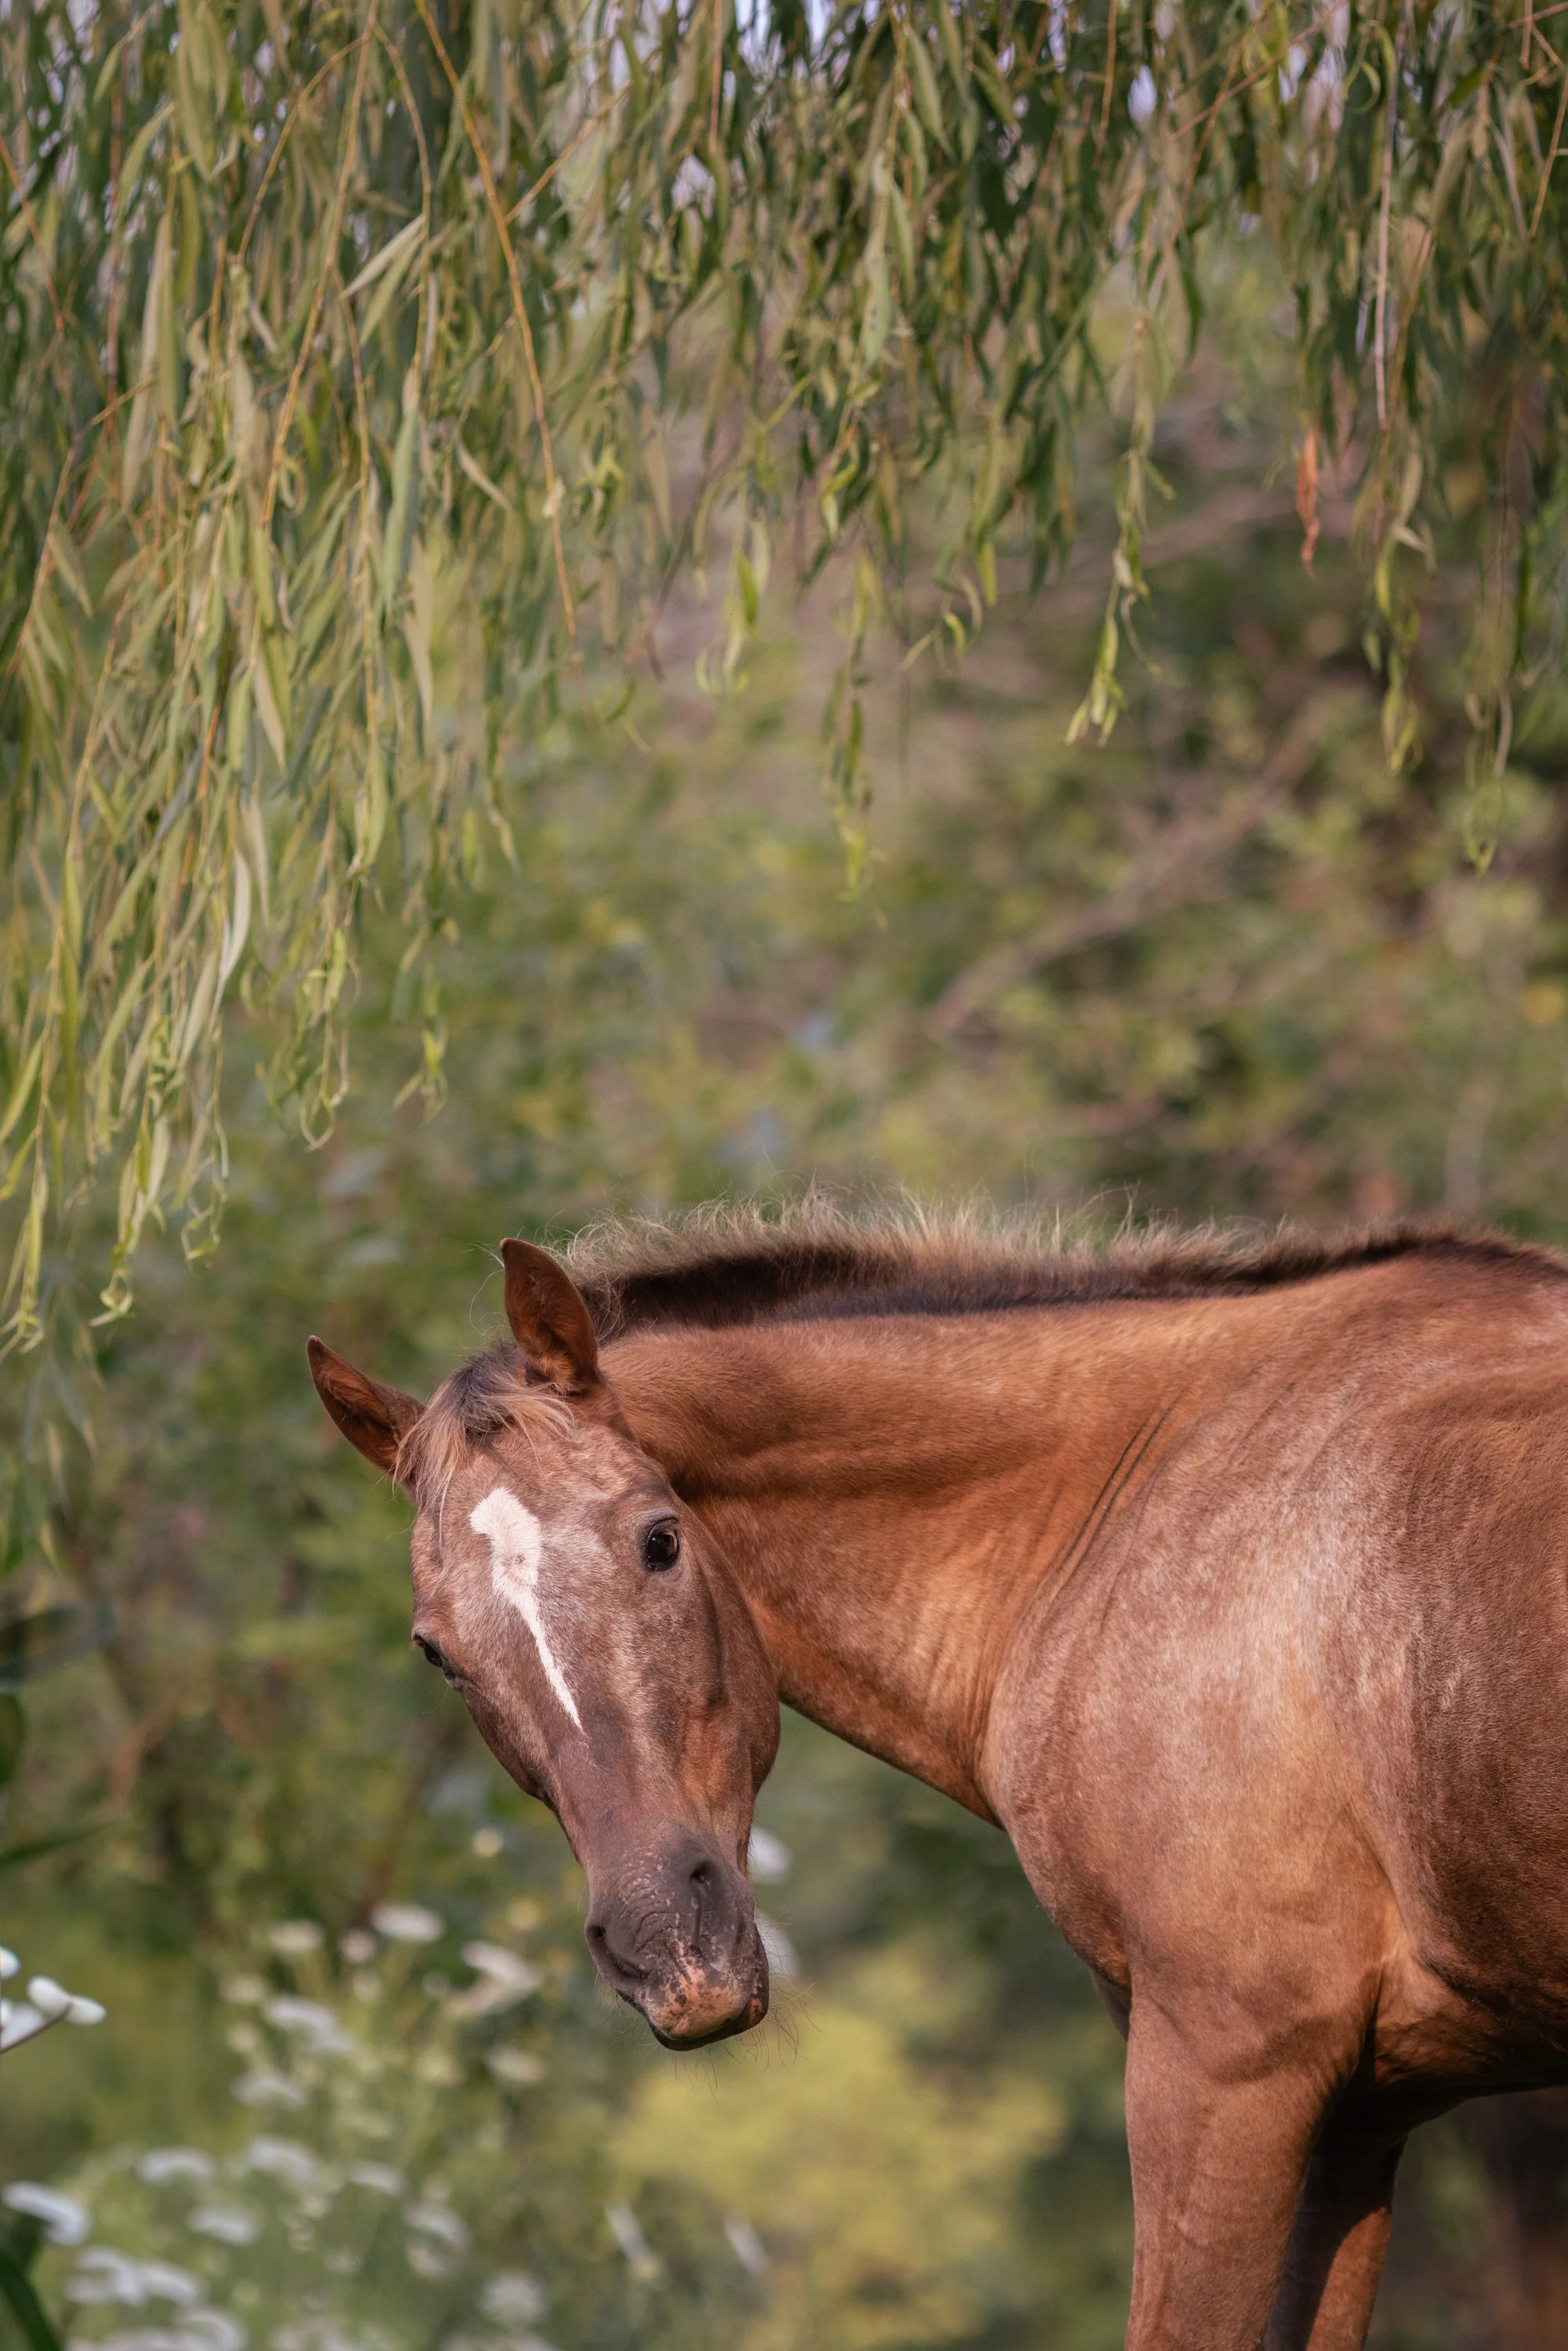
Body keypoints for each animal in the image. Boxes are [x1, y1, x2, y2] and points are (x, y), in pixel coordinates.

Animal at [308, 1204, 1568, 2350]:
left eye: (659, 1539)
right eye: (437, 1650)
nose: (669, 1944)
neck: (1138, 1487)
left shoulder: (1229, 2067)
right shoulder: (1361, 2115)